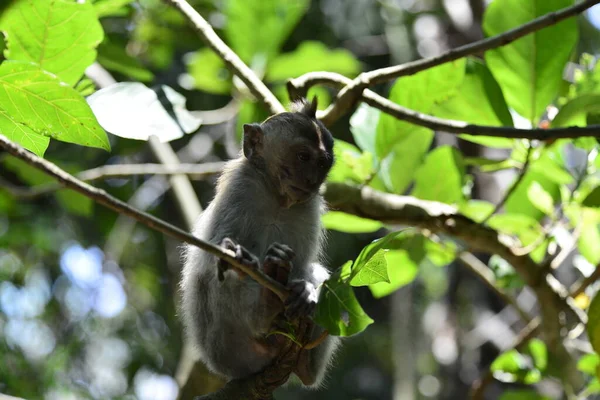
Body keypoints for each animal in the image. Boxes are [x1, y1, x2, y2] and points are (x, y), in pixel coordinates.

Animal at [178, 98, 340, 390]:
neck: (276, 197)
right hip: (227, 348)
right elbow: (214, 255)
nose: (312, 180)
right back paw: (264, 308)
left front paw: (306, 289)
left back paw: (305, 364)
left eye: (323, 163)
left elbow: (304, 266)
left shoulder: (309, 207)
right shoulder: (240, 189)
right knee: (219, 275)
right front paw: (238, 256)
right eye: (302, 157)